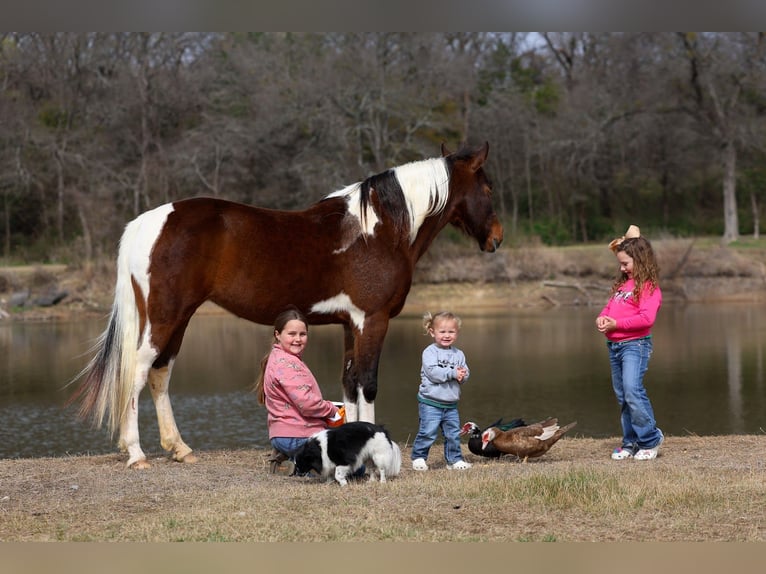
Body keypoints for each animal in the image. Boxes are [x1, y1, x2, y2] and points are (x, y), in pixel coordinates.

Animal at [69, 141, 503, 469]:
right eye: (488, 189)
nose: (496, 238)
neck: (379, 230)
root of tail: (147, 222)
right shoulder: (372, 320)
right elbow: (367, 383)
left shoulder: (350, 324)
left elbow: (349, 383)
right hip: (165, 316)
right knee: (138, 372)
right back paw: (137, 453)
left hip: (178, 319)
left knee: (160, 374)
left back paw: (180, 449)